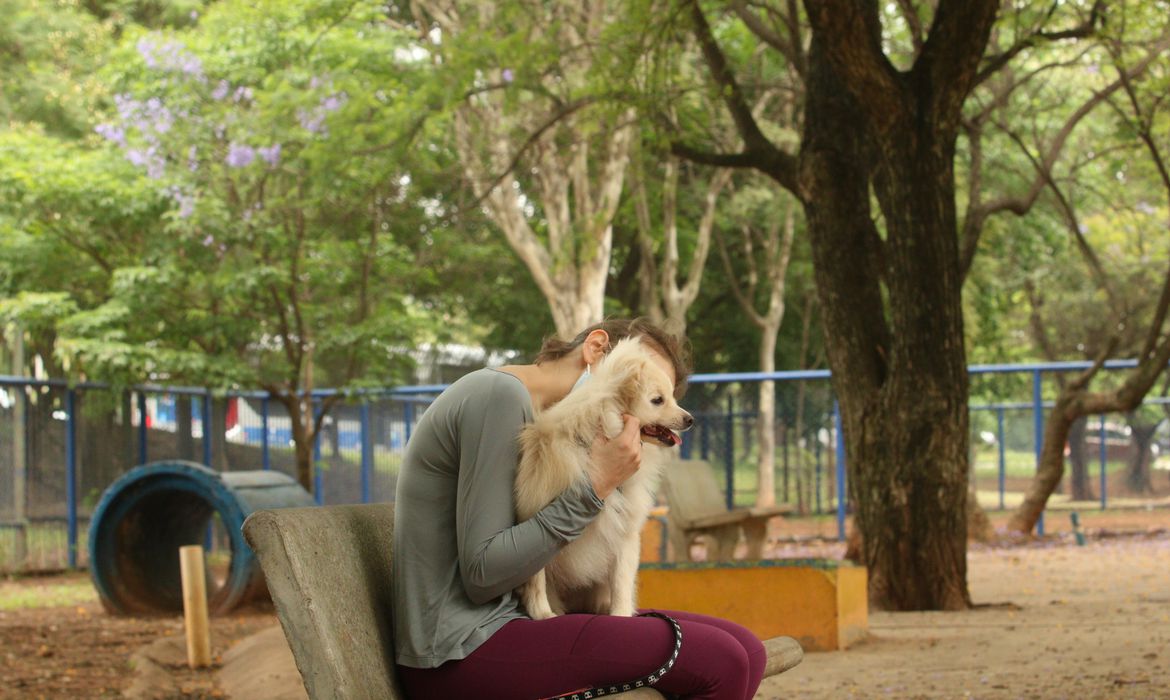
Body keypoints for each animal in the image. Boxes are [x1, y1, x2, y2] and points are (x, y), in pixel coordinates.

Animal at [514, 339, 692, 618]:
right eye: (658, 400)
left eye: (673, 397)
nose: (690, 419)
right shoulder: (534, 519)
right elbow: (536, 579)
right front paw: (542, 614)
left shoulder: (623, 533)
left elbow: (621, 582)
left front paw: (621, 614)